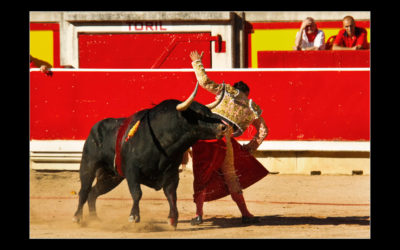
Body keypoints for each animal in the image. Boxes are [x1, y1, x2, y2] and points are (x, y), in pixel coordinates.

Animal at [73, 81, 227, 228]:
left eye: (209, 112)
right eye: (200, 114)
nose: (223, 126)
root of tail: (95, 127)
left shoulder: (172, 173)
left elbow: (171, 194)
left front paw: (172, 219)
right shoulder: (132, 171)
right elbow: (137, 193)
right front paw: (134, 216)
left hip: (111, 177)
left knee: (93, 193)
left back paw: (94, 219)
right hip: (88, 165)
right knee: (84, 191)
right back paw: (77, 217)